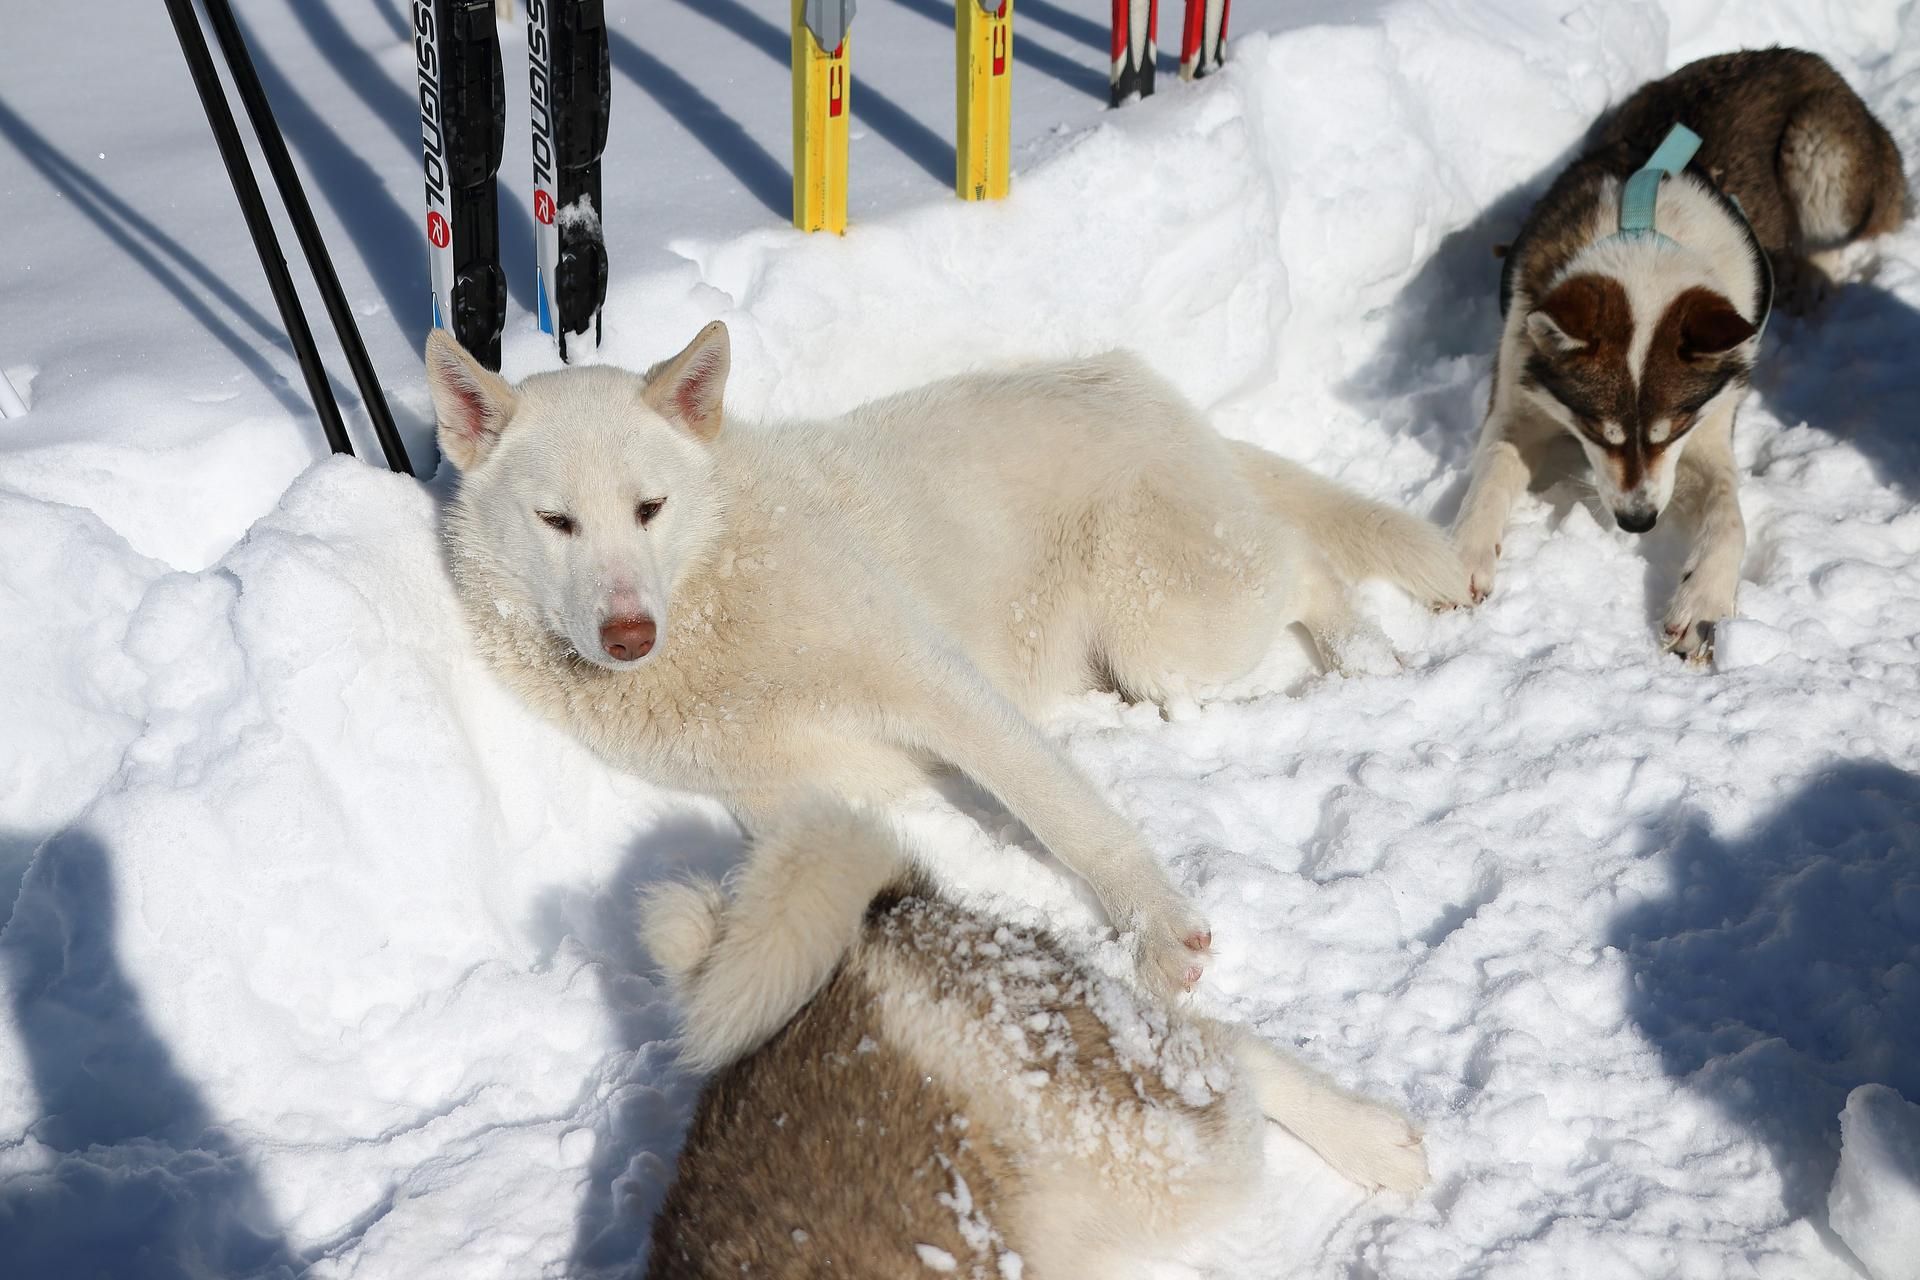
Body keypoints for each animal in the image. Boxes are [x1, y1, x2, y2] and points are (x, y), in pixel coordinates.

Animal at [428, 322, 1459, 997]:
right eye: (556, 521)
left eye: (649, 508)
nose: (628, 636)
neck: (716, 601)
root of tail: (1125, 376)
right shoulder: (792, 791)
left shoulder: (937, 684)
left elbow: (1069, 817)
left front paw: (1154, 928)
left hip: (1171, 629)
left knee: (1304, 559)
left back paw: (1362, 655)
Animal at [1451, 50, 1904, 660]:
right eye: (1595, 431)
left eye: (1674, 429)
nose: (1637, 522)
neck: (1643, 234)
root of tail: (1794, 54)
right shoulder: (1519, 393)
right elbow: (1492, 468)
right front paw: (1464, 555)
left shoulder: (1707, 425)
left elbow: (1729, 513)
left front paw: (1703, 599)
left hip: (1823, 157)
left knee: (1842, 232)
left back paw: (1814, 277)